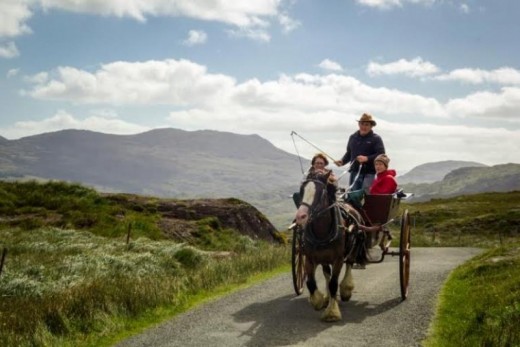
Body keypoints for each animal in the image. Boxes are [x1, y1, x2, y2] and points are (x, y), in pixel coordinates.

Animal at [294, 170, 368, 322]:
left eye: (320, 192)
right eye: (302, 190)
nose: (300, 216)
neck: (322, 232)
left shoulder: (338, 259)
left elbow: (334, 283)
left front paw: (332, 312)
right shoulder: (310, 258)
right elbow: (311, 283)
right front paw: (318, 301)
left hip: (354, 247)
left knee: (349, 263)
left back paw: (346, 290)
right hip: (324, 258)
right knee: (326, 273)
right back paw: (328, 297)